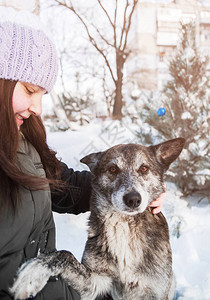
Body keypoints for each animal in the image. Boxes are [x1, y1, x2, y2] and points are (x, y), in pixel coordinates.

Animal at [10, 138, 184, 300]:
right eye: (113, 169)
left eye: (144, 168)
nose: (133, 199)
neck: (125, 225)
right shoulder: (94, 283)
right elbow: (64, 255)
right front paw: (32, 273)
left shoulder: (155, 291)